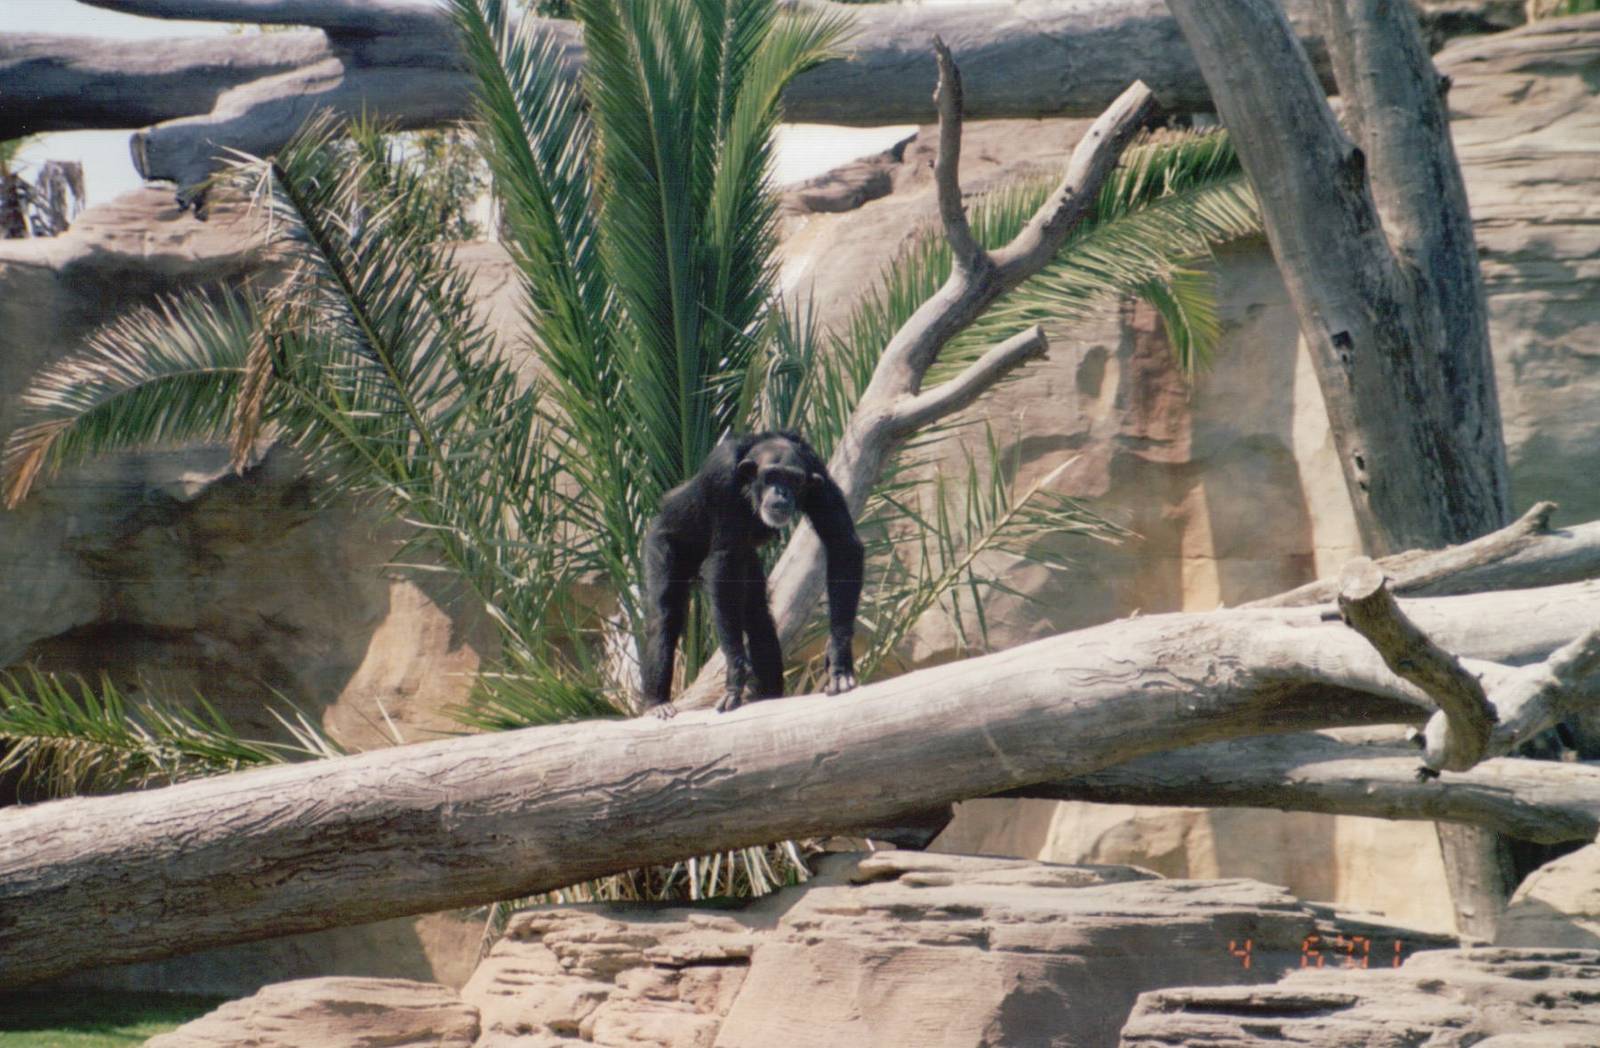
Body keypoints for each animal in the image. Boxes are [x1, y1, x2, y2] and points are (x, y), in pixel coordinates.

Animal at [639, 431, 864, 719]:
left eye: (793, 479)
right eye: (772, 475)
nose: (781, 491)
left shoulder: (818, 472)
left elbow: (842, 543)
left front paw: (838, 660)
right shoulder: (721, 477)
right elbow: (724, 561)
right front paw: (736, 677)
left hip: (749, 562)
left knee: (758, 616)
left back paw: (769, 696)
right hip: (661, 539)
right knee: (665, 615)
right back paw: (657, 702)